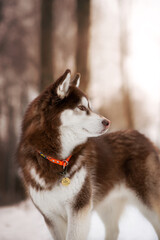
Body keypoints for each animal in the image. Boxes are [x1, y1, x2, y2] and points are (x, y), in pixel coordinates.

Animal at [17, 69, 160, 240]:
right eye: (81, 107)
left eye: (89, 107)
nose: (107, 122)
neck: (55, 160)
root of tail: (145, 137)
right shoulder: (51, 217)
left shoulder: (78, 209)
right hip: (107, 205)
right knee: (113, 230)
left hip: (147, 202)